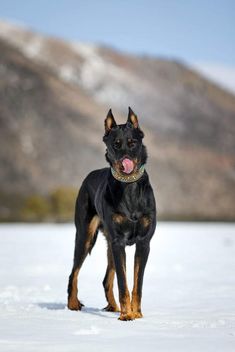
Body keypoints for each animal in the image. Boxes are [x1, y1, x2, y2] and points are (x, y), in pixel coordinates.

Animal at [67, 108, 156, 320]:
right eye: (115, 144)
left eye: (132, 143)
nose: (125, 160)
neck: (129, 187)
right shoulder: (118, 242)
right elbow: (123, 283)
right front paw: (126, 316)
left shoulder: (143, 243)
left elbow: (137, 283)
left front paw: (136, 313)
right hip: (85, 236)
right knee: (74, 272)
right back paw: (73, 303)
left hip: (108, 246)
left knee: (107, 279)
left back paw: (113, 306)